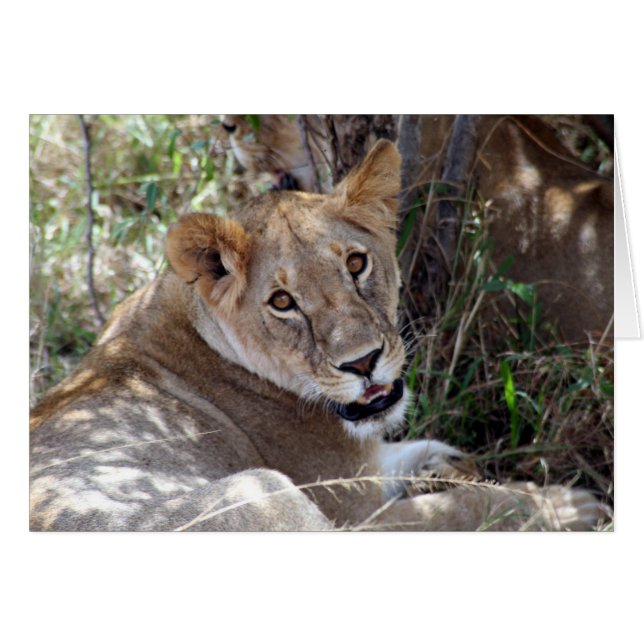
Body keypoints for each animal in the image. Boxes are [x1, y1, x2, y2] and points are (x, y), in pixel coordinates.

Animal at [29, 140, 607, 531]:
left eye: (356, 264)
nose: (363, 362)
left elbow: (397, 452)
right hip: (260, 491)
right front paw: (560, 505)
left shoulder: (363, 468)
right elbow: (463, 507)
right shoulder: (353, 508)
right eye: (282, 302)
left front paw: (442, 460)